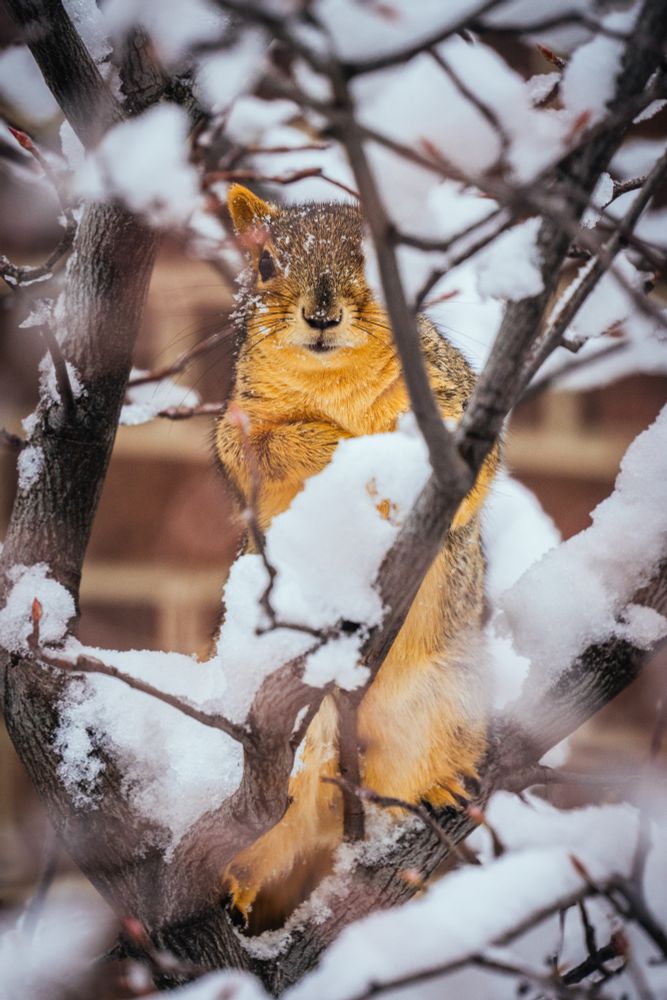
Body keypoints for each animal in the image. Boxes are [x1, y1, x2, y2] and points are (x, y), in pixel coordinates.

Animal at [215, 184, 498, 931]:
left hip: (441, 707)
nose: (320, 316)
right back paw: (240, 887)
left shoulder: (454, 393)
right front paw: (337, 448)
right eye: (265, 265)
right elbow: (270, 448)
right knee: (281, 835)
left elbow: (477, 473)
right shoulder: (237, 425)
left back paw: (441, 784)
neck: (330, 378)